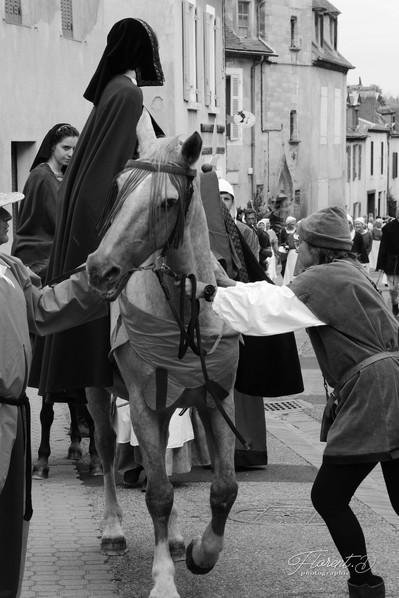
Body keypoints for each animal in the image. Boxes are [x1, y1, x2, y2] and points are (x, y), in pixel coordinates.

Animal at [86, 112, 241, 598]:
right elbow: (157, 493)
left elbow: (224, 488)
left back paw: (173, 538)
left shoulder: (216, 400)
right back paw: (112, 529)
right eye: (117, 187)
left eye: (168, 202)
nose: (99, 269)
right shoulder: (141, 405)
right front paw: (164, 580)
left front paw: (201, 553)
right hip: (97, 394)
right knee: (106, 449)